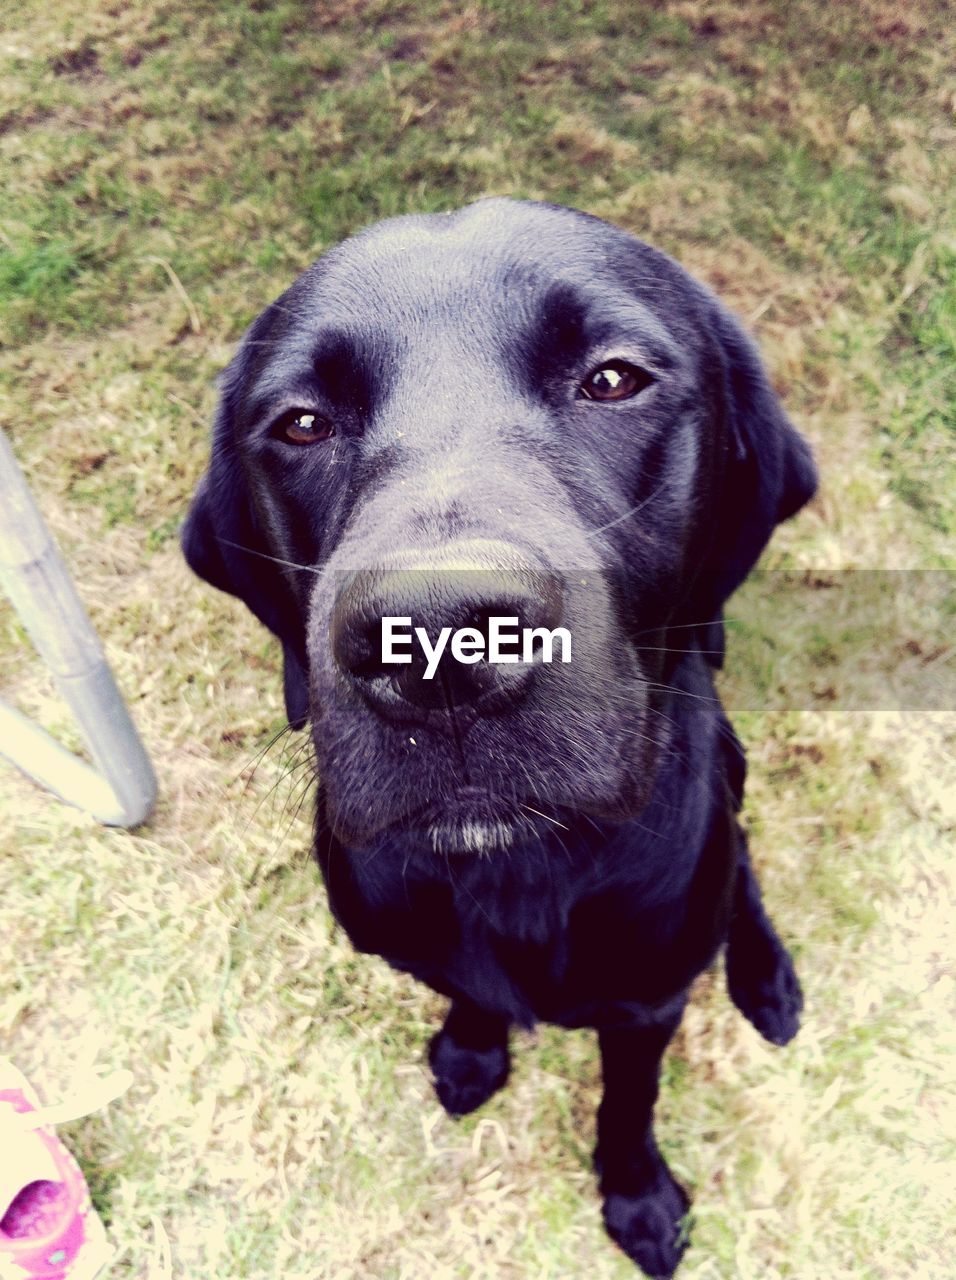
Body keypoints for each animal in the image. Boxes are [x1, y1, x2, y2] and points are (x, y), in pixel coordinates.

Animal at [183, 199, 819, 1280]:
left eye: (611, 377)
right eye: (302, 422)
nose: (439, 645)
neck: (513, 871)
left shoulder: (645, 1007)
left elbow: (628, 1102)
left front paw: (637, 1196)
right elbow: (470, 994)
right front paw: (473, 1049)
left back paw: (764, 975)